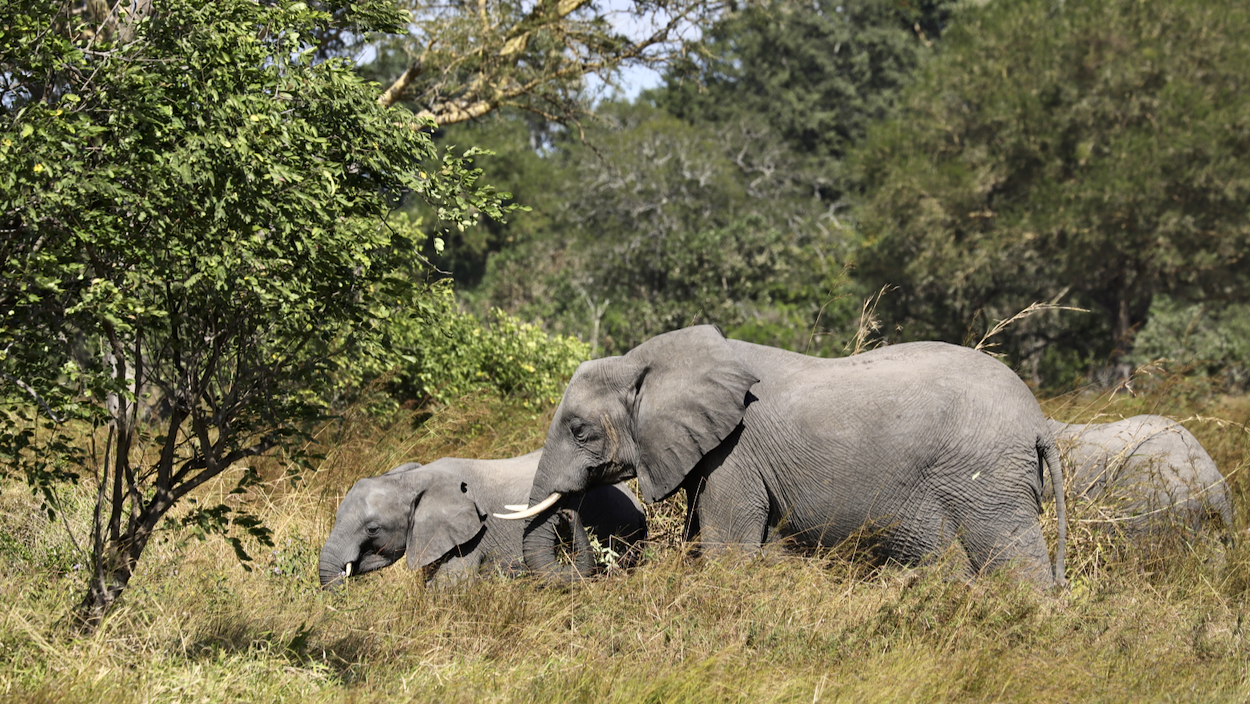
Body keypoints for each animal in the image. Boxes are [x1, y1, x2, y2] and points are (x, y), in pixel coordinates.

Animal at [497, 327, 1065, 587]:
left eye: (580, 432)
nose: (572, 515)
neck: (647, 362)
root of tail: (1039, 422)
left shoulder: (735, 454)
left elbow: (727, 551)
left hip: (987, 483)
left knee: (1015, 563)